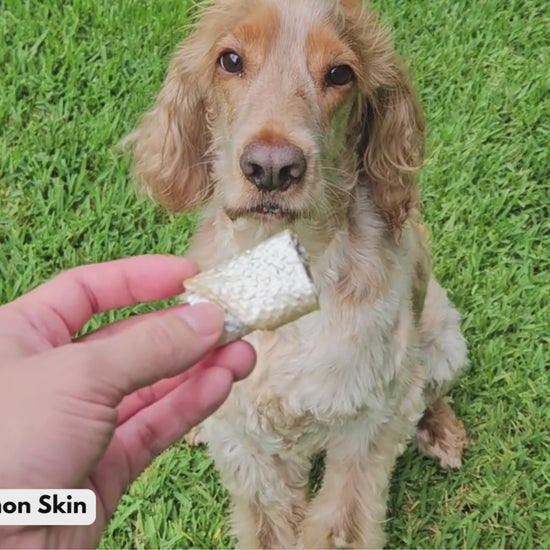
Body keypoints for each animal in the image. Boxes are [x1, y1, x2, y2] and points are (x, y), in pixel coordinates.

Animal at [126, 2, 470, 548]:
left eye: (340, 73)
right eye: (230, 60)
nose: (272, 168)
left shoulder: (370, 418)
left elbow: (341, 525)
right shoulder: (246, 434)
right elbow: (268, 522)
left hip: (443, 338)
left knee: (431, 390)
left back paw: (442, 432)